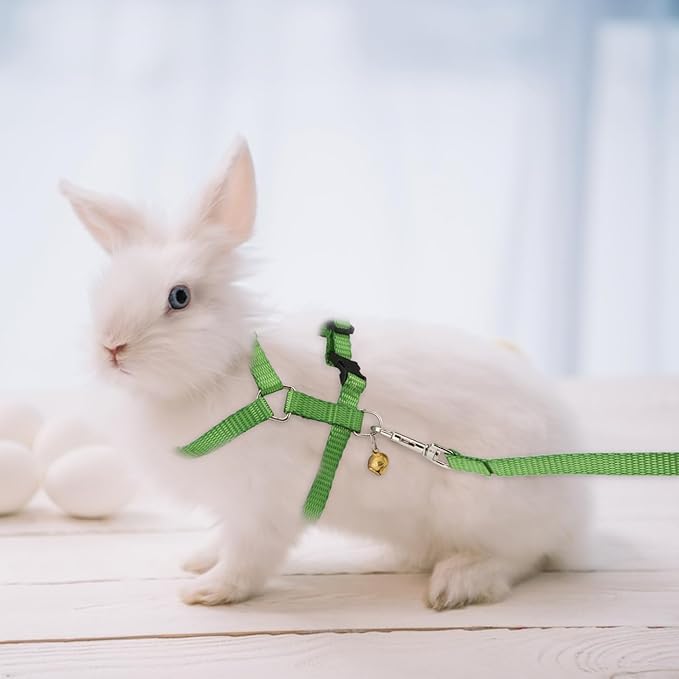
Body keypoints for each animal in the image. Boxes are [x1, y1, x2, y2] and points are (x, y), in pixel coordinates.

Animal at [60, 137, 589, 610]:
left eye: (179, 297)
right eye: (103, 289)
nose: (110, 348)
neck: (230, 377)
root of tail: (573, 505)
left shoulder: (265, 502)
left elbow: (248, 556)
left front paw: (208, 591)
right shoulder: (233, 504)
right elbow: (224, 538)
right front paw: (197, 560)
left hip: (481, 509)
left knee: (522, 559)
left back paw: (455, 584)